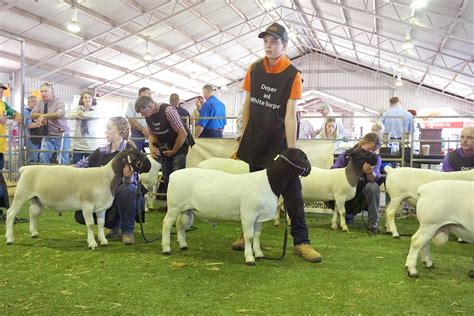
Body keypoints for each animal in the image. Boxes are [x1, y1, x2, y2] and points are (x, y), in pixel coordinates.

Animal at [3, 148, 151, 249]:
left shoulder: (102, 208)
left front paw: (103, 241)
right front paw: (92, 244)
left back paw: (34, 233)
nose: (150, 165)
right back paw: (9, 239)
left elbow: (101, 224)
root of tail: (25, 169)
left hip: (36, 199)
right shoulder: (87, 205)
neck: (106, 178)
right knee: (10, 214)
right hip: (21, 194)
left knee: (32, 214)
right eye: (137, 156)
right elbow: (90, 224)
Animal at [161, 148, 312, 264]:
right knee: (167, 223)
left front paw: (258, 254)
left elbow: (257, 235)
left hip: (186, 209)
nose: (309, 170)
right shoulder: (248, 215)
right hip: (174, 206)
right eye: (303, 156)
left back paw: (183, 245)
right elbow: (249, 236)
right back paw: (166, 248)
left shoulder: (258, 217)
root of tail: (174, 175)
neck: (269, 181)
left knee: (180, 224)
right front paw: (250, 258)